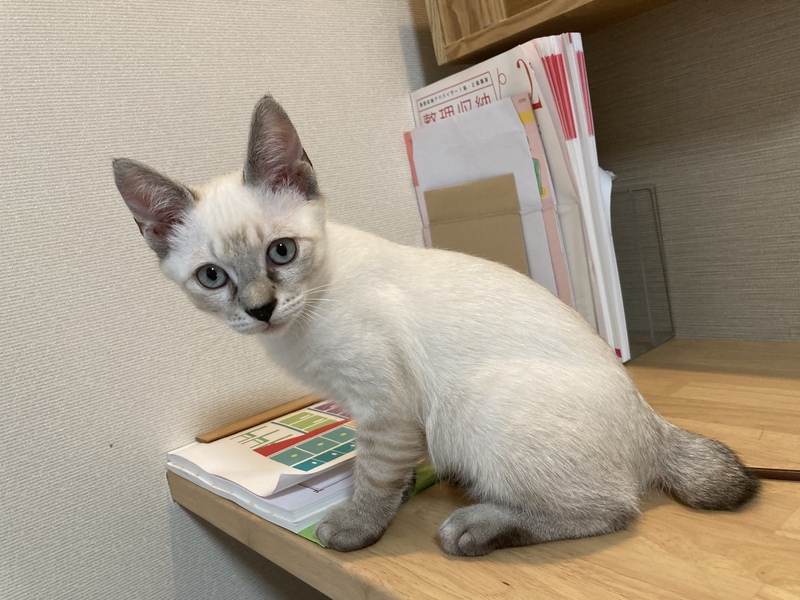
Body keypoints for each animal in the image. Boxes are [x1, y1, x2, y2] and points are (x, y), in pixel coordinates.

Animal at [113, 94, 759, 556]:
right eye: (213, 277)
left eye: (281, 253)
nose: (261, 309)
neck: (303, 323)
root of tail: (652, 423)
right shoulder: (369, 411)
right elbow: (383, 470)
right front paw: (398, 494)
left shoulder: (384, 405)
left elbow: (372, 476)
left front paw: (354, 528)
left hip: (473, 406)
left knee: (615, 508)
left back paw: (474, 528)